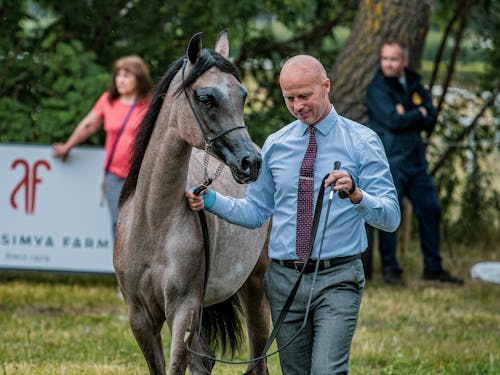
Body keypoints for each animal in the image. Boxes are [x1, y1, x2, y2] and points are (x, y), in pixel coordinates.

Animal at [113, 30, 272, 375]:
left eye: (243, 95)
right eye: (206, 98)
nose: (251, 163)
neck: (153, 221)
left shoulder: (183, 311)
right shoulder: (140, 318)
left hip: (255, 286)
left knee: (258, 359)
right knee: (205, 359)